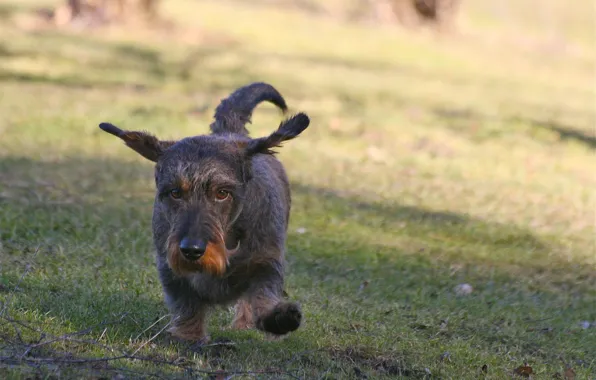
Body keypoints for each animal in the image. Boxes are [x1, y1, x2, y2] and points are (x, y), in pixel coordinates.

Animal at [99, 82, 308, 342]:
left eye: (222, 192)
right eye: (175, 192)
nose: (192, 250)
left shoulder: (266, 260)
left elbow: (262, 294)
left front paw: (278, 317)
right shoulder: (170, 270)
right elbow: (187, 304)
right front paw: (189, 336)